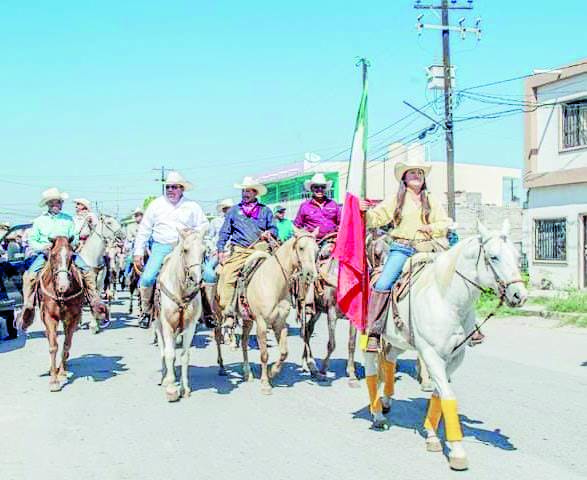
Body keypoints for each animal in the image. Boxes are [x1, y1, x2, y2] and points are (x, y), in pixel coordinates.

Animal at [37, 236, 86, 390]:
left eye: (72, 256)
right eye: (52, 256)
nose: (63, 285)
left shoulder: (73, 318)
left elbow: (66, 344)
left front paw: (62, 373)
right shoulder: (50, 318)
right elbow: (53, 346)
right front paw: (54, 380)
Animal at [154, 227, 207, 404]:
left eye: (204, 251)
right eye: (185, 250)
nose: (196, 279)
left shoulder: (190, 327)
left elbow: (185, 356)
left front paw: (185, 389)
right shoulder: (167, 324)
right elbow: (169, 354)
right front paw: (171, 389)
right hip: (158, 325)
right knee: (163, 350)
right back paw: (164, 377)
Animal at [366, 220, 532, 468]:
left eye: (516, 255)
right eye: (493, 257)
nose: (519, 295)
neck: (448, 300)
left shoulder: (455, 356)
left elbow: (439, 395)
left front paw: (431, 435)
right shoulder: (432, 355)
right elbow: (448, 395)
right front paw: (457, 452)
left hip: (399, 341)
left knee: (389, 360)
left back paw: (386, 402)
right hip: (367, 335)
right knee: (371, 371)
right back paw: (377, 415)